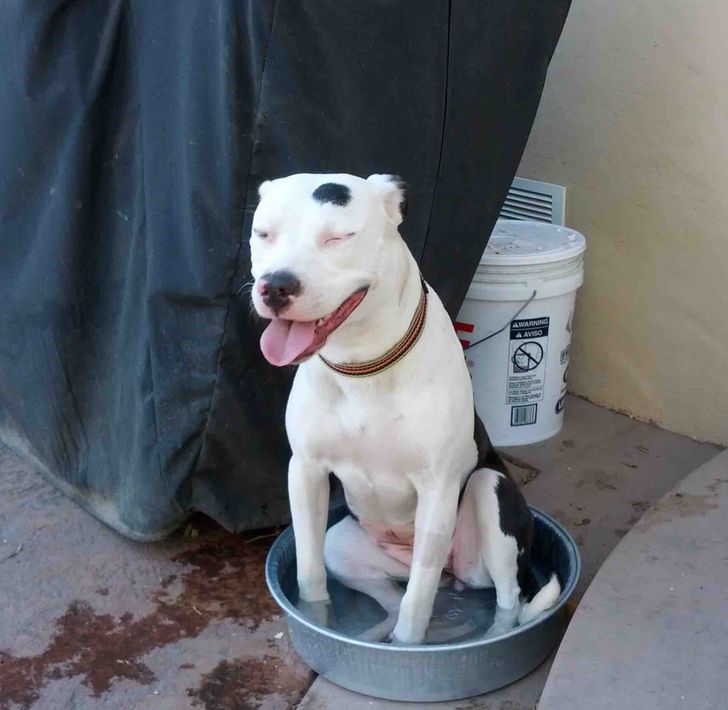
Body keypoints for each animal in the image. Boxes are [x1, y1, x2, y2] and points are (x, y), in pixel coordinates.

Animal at [247, 172, 560, 644]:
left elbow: (418, 601)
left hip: (489, 499)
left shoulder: (436, 489)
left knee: (506, 597)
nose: (276, 285)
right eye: (264, 234)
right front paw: (317, 621)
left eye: (338, 237)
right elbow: (309, 574)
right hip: (345, 546)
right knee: (390, 597)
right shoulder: (305, 472)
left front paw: (411, 645)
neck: (364, 365)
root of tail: (454, 574)